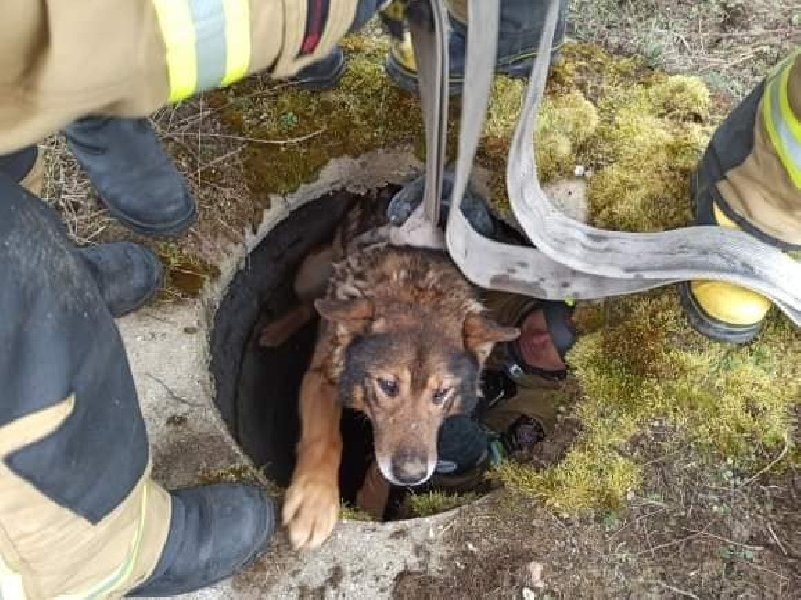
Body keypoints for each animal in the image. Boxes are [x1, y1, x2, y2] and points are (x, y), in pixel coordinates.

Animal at [271, 201, 519, 549]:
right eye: (387, 385)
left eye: (441, 394)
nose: (411, 475)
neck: (416, 285)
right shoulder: (321, 375)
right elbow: (325, 437)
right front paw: (314, 501)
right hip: (311, 272)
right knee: (309, 304)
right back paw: (273, 331)